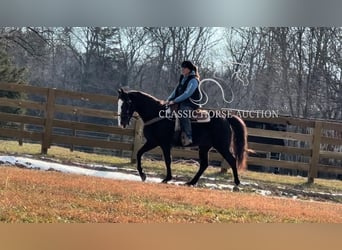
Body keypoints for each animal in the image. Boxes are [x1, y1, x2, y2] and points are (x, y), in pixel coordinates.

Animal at [117, 89, 248, 187]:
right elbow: (139, 153)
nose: (122, 122)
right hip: (205, 147)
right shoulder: (152, 142)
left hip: (222, 146)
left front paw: (167, 178)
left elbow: (167, 160)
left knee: (232, 160)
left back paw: (237, 183)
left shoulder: (164, 144)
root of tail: (225, 117)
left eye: (126, 103)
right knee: (204, 164)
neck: (157, 114)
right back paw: (191, 182)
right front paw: (142, 175)